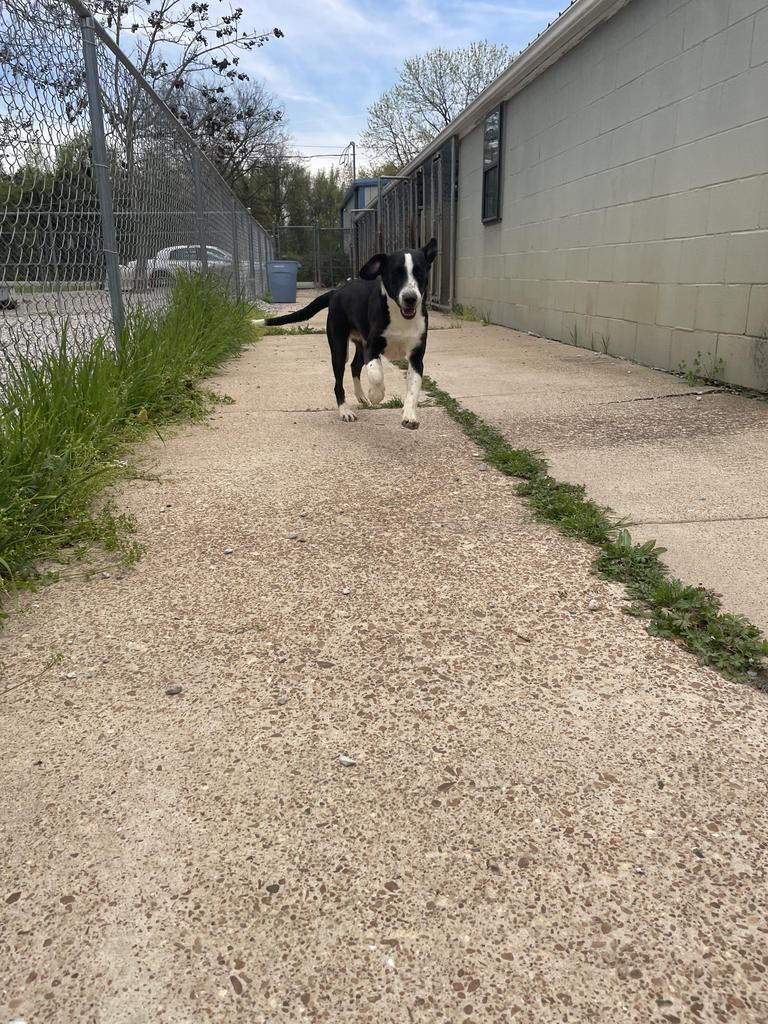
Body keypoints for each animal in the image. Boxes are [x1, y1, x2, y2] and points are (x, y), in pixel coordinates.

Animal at [256, 236, 438, 428]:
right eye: (396, 273)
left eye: (419, 273)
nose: (410, 298)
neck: (400, 317)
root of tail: (336, 291)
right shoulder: (372, 347)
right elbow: (375, 373)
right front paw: (376, 394)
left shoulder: (416, 356)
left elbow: (414, 386)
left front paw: (409, 415)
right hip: (339, 348)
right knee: (339, 383)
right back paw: (345, 410)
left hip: (359, 344)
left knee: (354, 366)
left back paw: (361, 397)